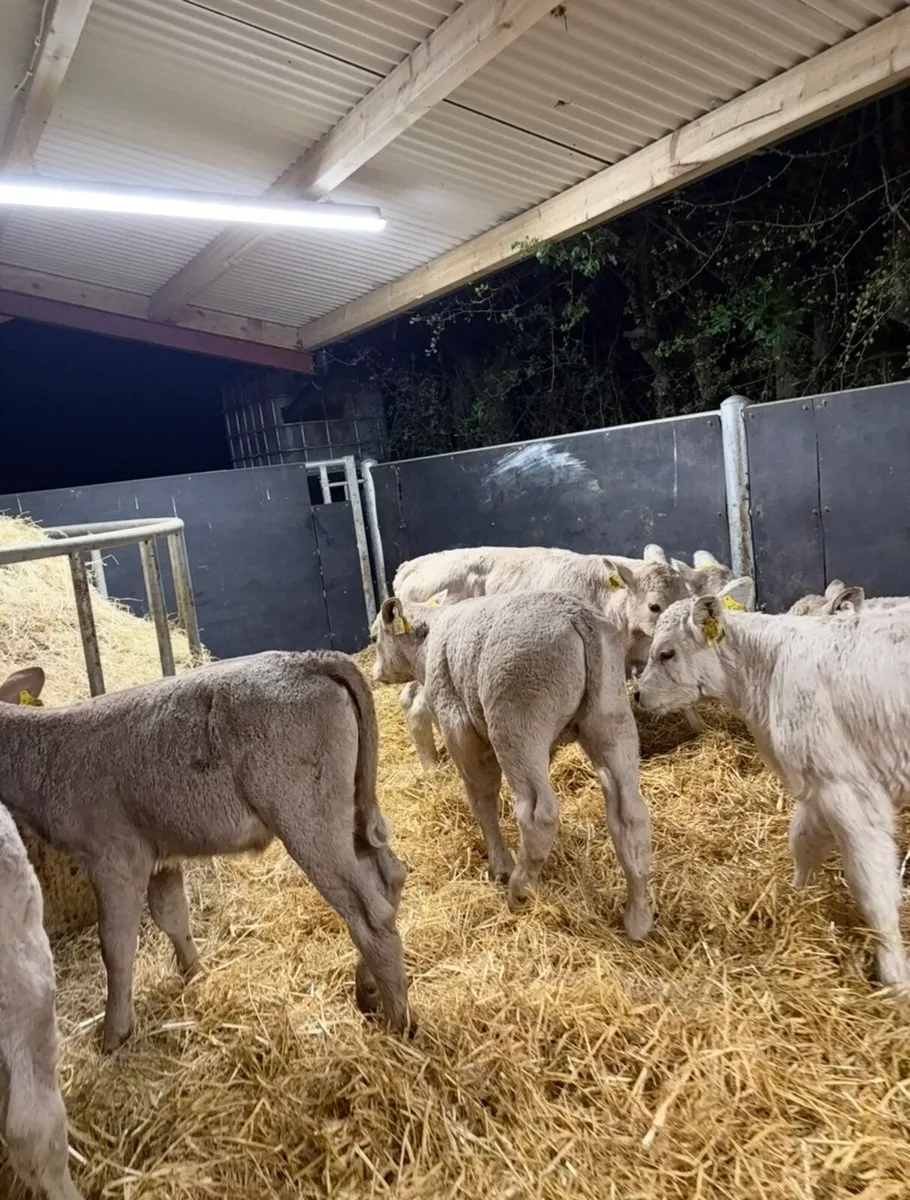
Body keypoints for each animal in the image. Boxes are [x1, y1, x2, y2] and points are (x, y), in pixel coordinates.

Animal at [0, 654, 410, 1053]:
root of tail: (312, 659)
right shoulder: (160, 854)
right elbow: (172, 915)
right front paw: (193, 972)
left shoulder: (114, 857)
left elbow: (116, 945)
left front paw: (113, 1033)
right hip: (352, 811)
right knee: (389, 876)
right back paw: (368, 989)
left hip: (308, 819)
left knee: (369, 913)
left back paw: (399, 1022)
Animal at [372, 591, 653, 939]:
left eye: (375, 637)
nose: (375, 673)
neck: (425, 643)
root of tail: (577, 617)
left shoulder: (459, 728)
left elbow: (482, 797)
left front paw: (500, 865)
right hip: (609, 715)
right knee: (630, 814)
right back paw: (638, 918)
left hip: (516, 721)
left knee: (538, 814)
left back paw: (519, 889)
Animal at [634, 579, 910, 992]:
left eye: (666, 652)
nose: (636, 693)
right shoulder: (817, 784)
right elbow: (803, 841)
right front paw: (796, 898)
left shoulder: (849, 788)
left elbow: (871, 884)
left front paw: (893, 976)